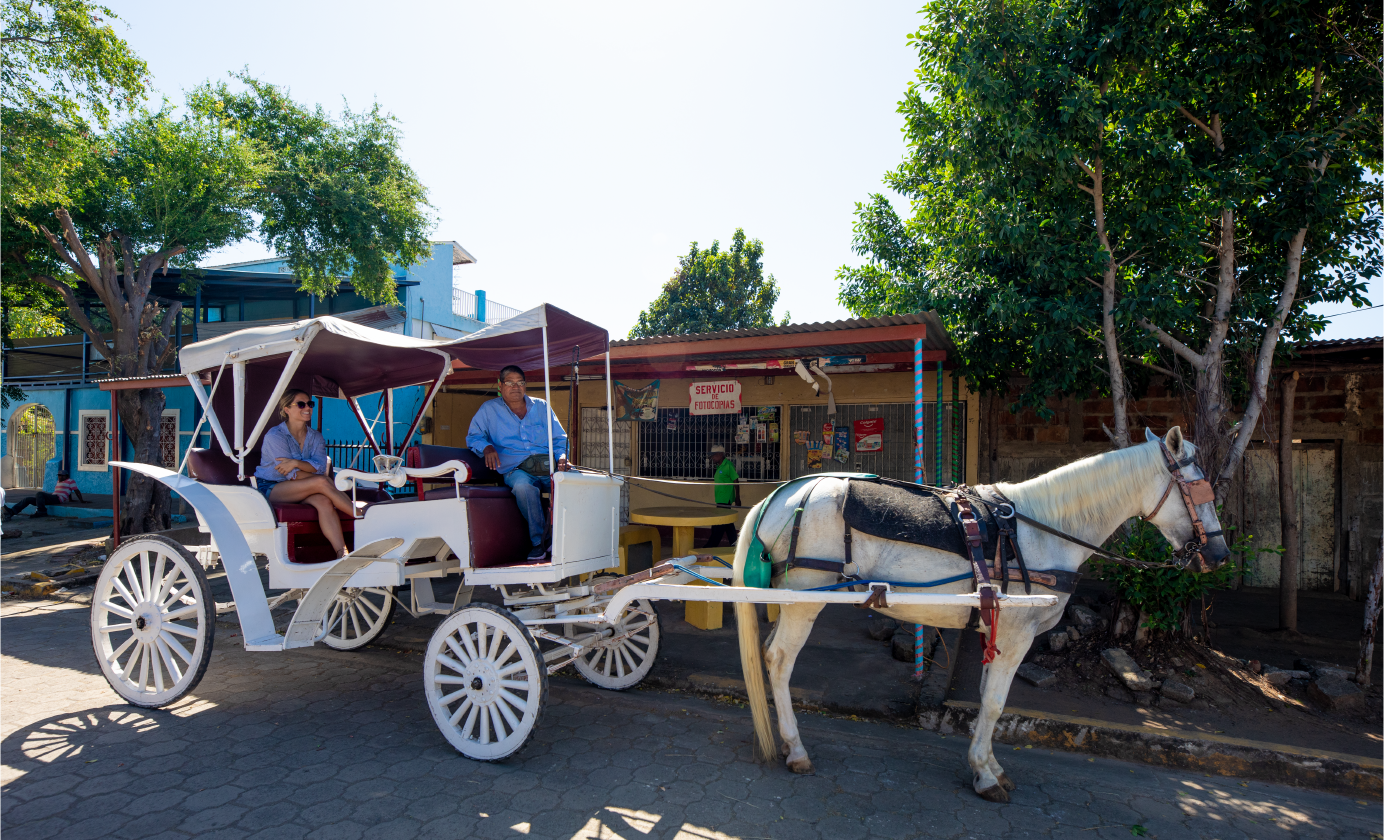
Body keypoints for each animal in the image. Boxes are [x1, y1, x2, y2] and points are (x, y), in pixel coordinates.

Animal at [730, 431, 1228, 802]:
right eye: (1199, 488)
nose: (1220, 554)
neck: (1037, 530)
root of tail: (784, 495)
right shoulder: (1018, 632)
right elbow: (994, 703)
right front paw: (985, 777)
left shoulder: (999, 629)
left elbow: (990, 697)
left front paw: (987, 765)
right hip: (805, 600)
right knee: (778, 661)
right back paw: (795, 748)